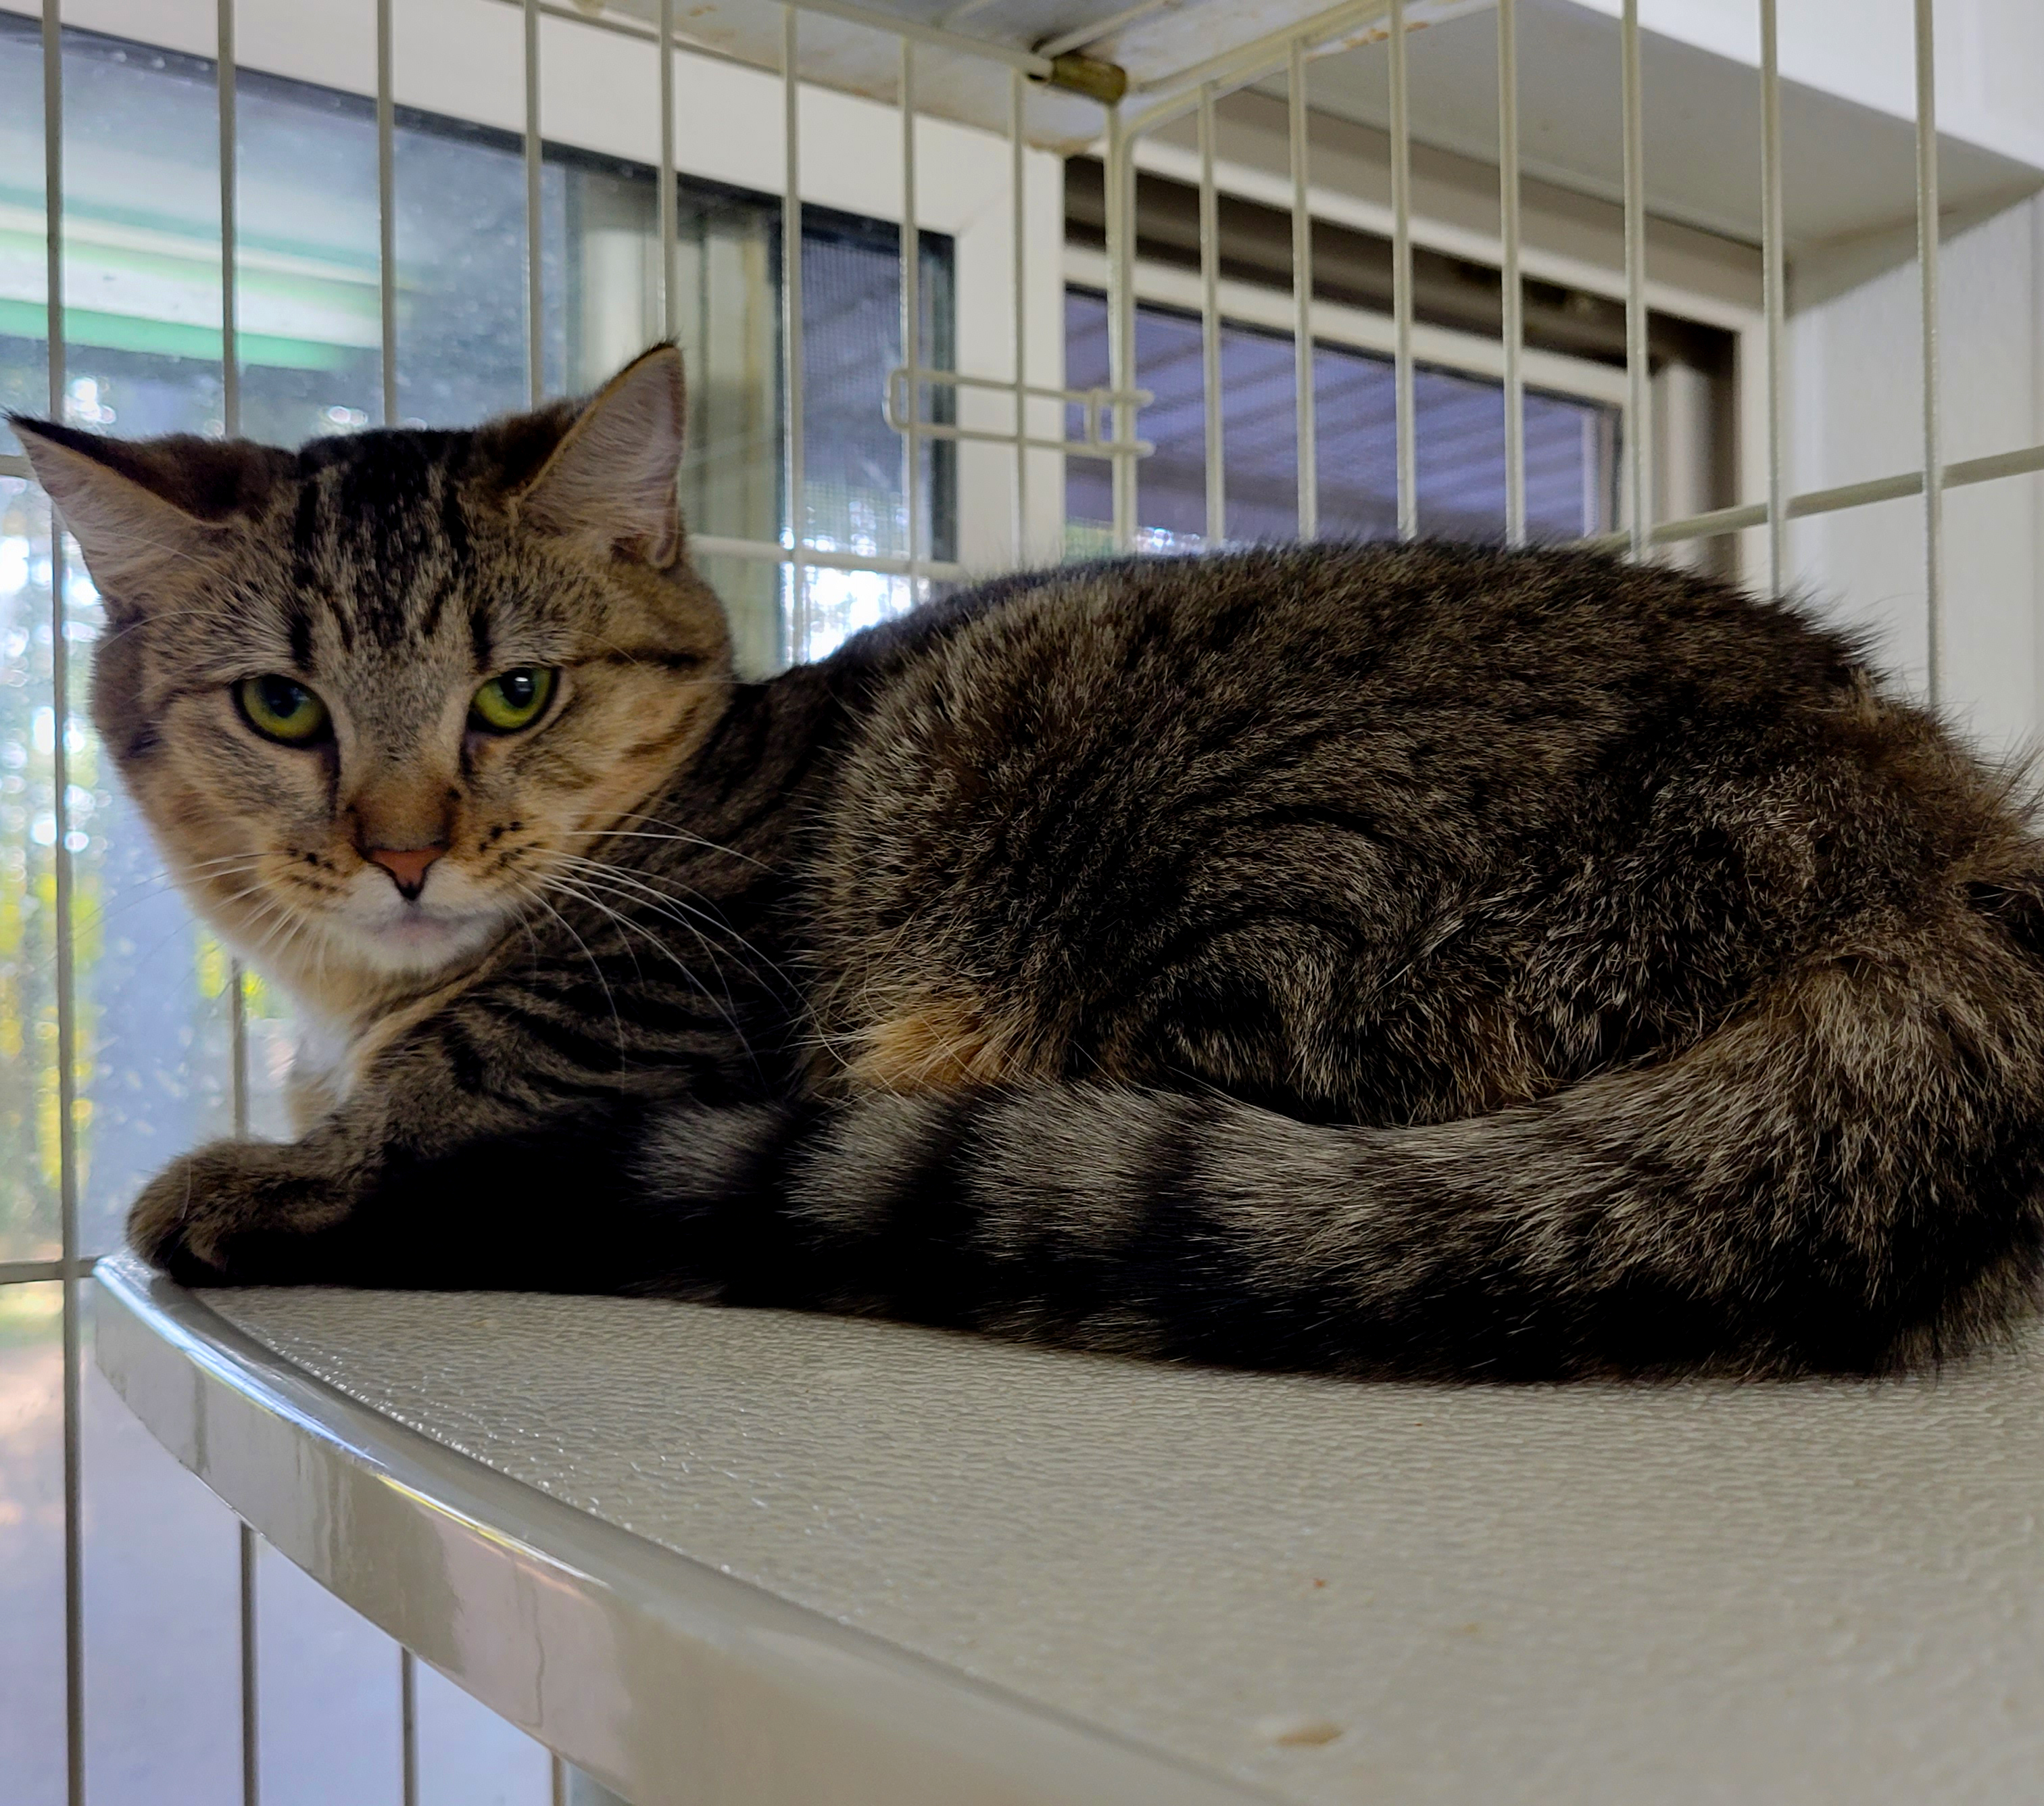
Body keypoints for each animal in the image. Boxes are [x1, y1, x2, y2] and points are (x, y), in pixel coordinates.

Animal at [16, 345, 2044, 1373]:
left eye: (515, 692)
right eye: (283, 708)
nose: (402, 850)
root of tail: (1938, 845)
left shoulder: (648, 1015)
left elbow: (437, 1087)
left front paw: (279, 1161)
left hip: (1257, 895)